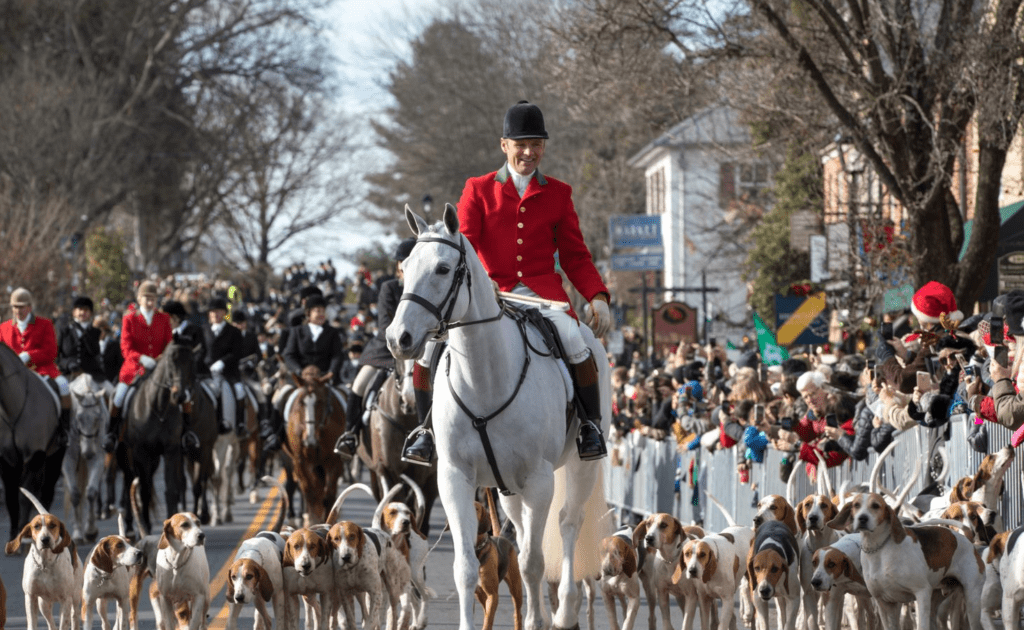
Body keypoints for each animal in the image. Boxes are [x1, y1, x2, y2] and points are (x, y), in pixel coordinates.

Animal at [0, 342, 64, 540]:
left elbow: (24, 497)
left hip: (55, 457)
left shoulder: (34, 457)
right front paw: (14, 534)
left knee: (47, 492)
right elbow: (11, 498)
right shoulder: (7, 462)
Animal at [61, 374, 110, 540]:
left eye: (98, 418)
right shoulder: (68, 459)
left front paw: (90, 530)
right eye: (79, 418)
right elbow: (75, 494)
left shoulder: (98, 458)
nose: (88, 452)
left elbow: (91, 492)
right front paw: (77, 532)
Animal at [282, 366, 346, 524]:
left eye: (320, 401)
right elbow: (311, 493)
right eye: (301, 402)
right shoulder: (301, 462)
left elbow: (328, 496)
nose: (309, 439)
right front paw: (312, 521)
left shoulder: (333, 461)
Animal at [385, 205, 606, 630]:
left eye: (442, 268)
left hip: (577, 467)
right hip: (508, 488)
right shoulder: (455, 477)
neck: (483, 378)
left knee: (568, 524)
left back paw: (564, 610)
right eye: (405, 265)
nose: (397, 337)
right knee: (521, 533)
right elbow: (466, 568)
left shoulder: (539, 479)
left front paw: (538, 619)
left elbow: (534, 563)